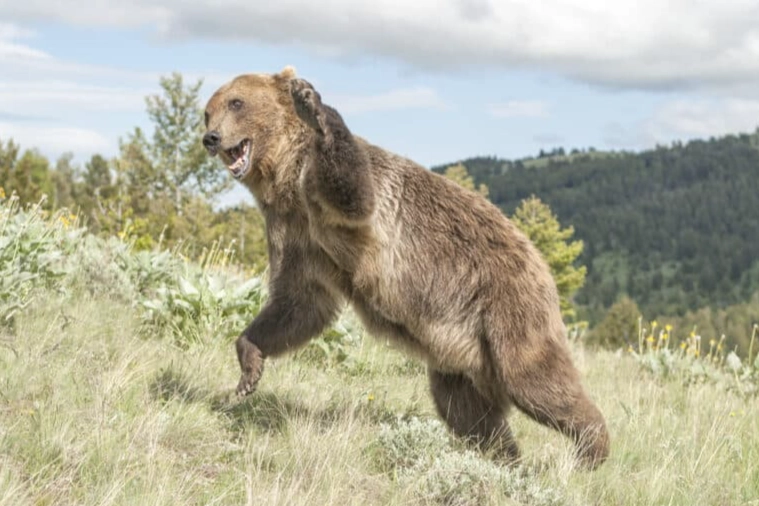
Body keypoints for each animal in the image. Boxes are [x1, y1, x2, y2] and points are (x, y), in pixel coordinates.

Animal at [202, 66, 610, 469]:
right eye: (208, 111)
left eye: (236, 102)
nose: (211, 137)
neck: (285, 178)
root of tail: (539, 260)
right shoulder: (296, 233)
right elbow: (298, 302)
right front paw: (249, 368)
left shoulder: (343, 202)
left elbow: (353, 193)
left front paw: (313, 106)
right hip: (462, 353)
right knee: (466, 409)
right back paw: (503, 458)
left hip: (507, 306)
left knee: (533, 379)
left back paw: (591, 448)